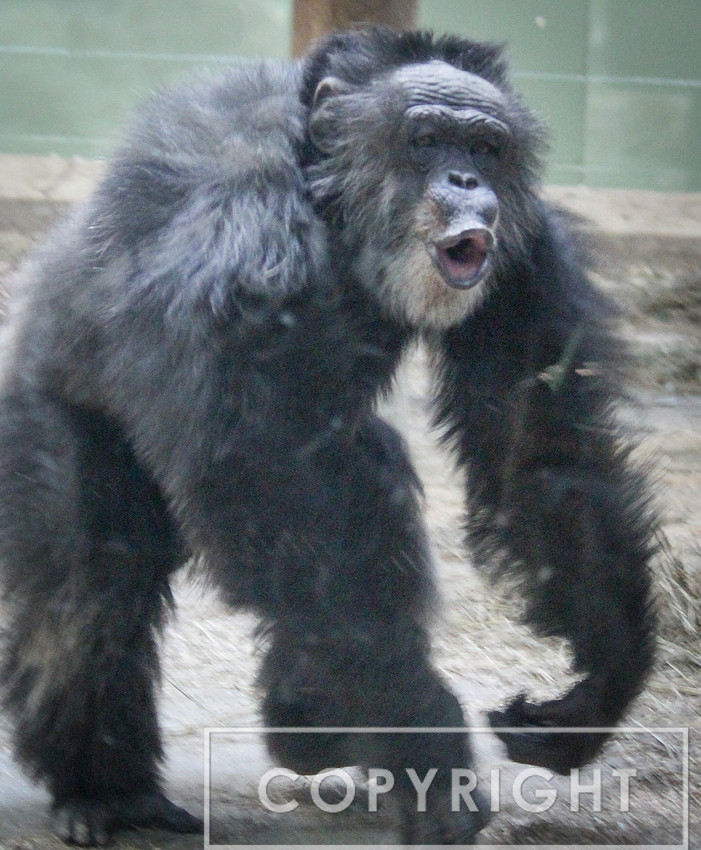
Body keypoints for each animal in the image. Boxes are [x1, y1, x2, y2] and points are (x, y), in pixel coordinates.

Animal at [0, 27, 655, 845]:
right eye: (425, 138)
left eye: (486, 144)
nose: (466, 179)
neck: (331, 198)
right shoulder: (239, 250)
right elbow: (265, 481)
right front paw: (424, 737)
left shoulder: (527, 252)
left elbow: (534, 442)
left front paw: (597, 685)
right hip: (50, 404)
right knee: (93, 581)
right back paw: (108, 794)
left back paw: (306, 721)